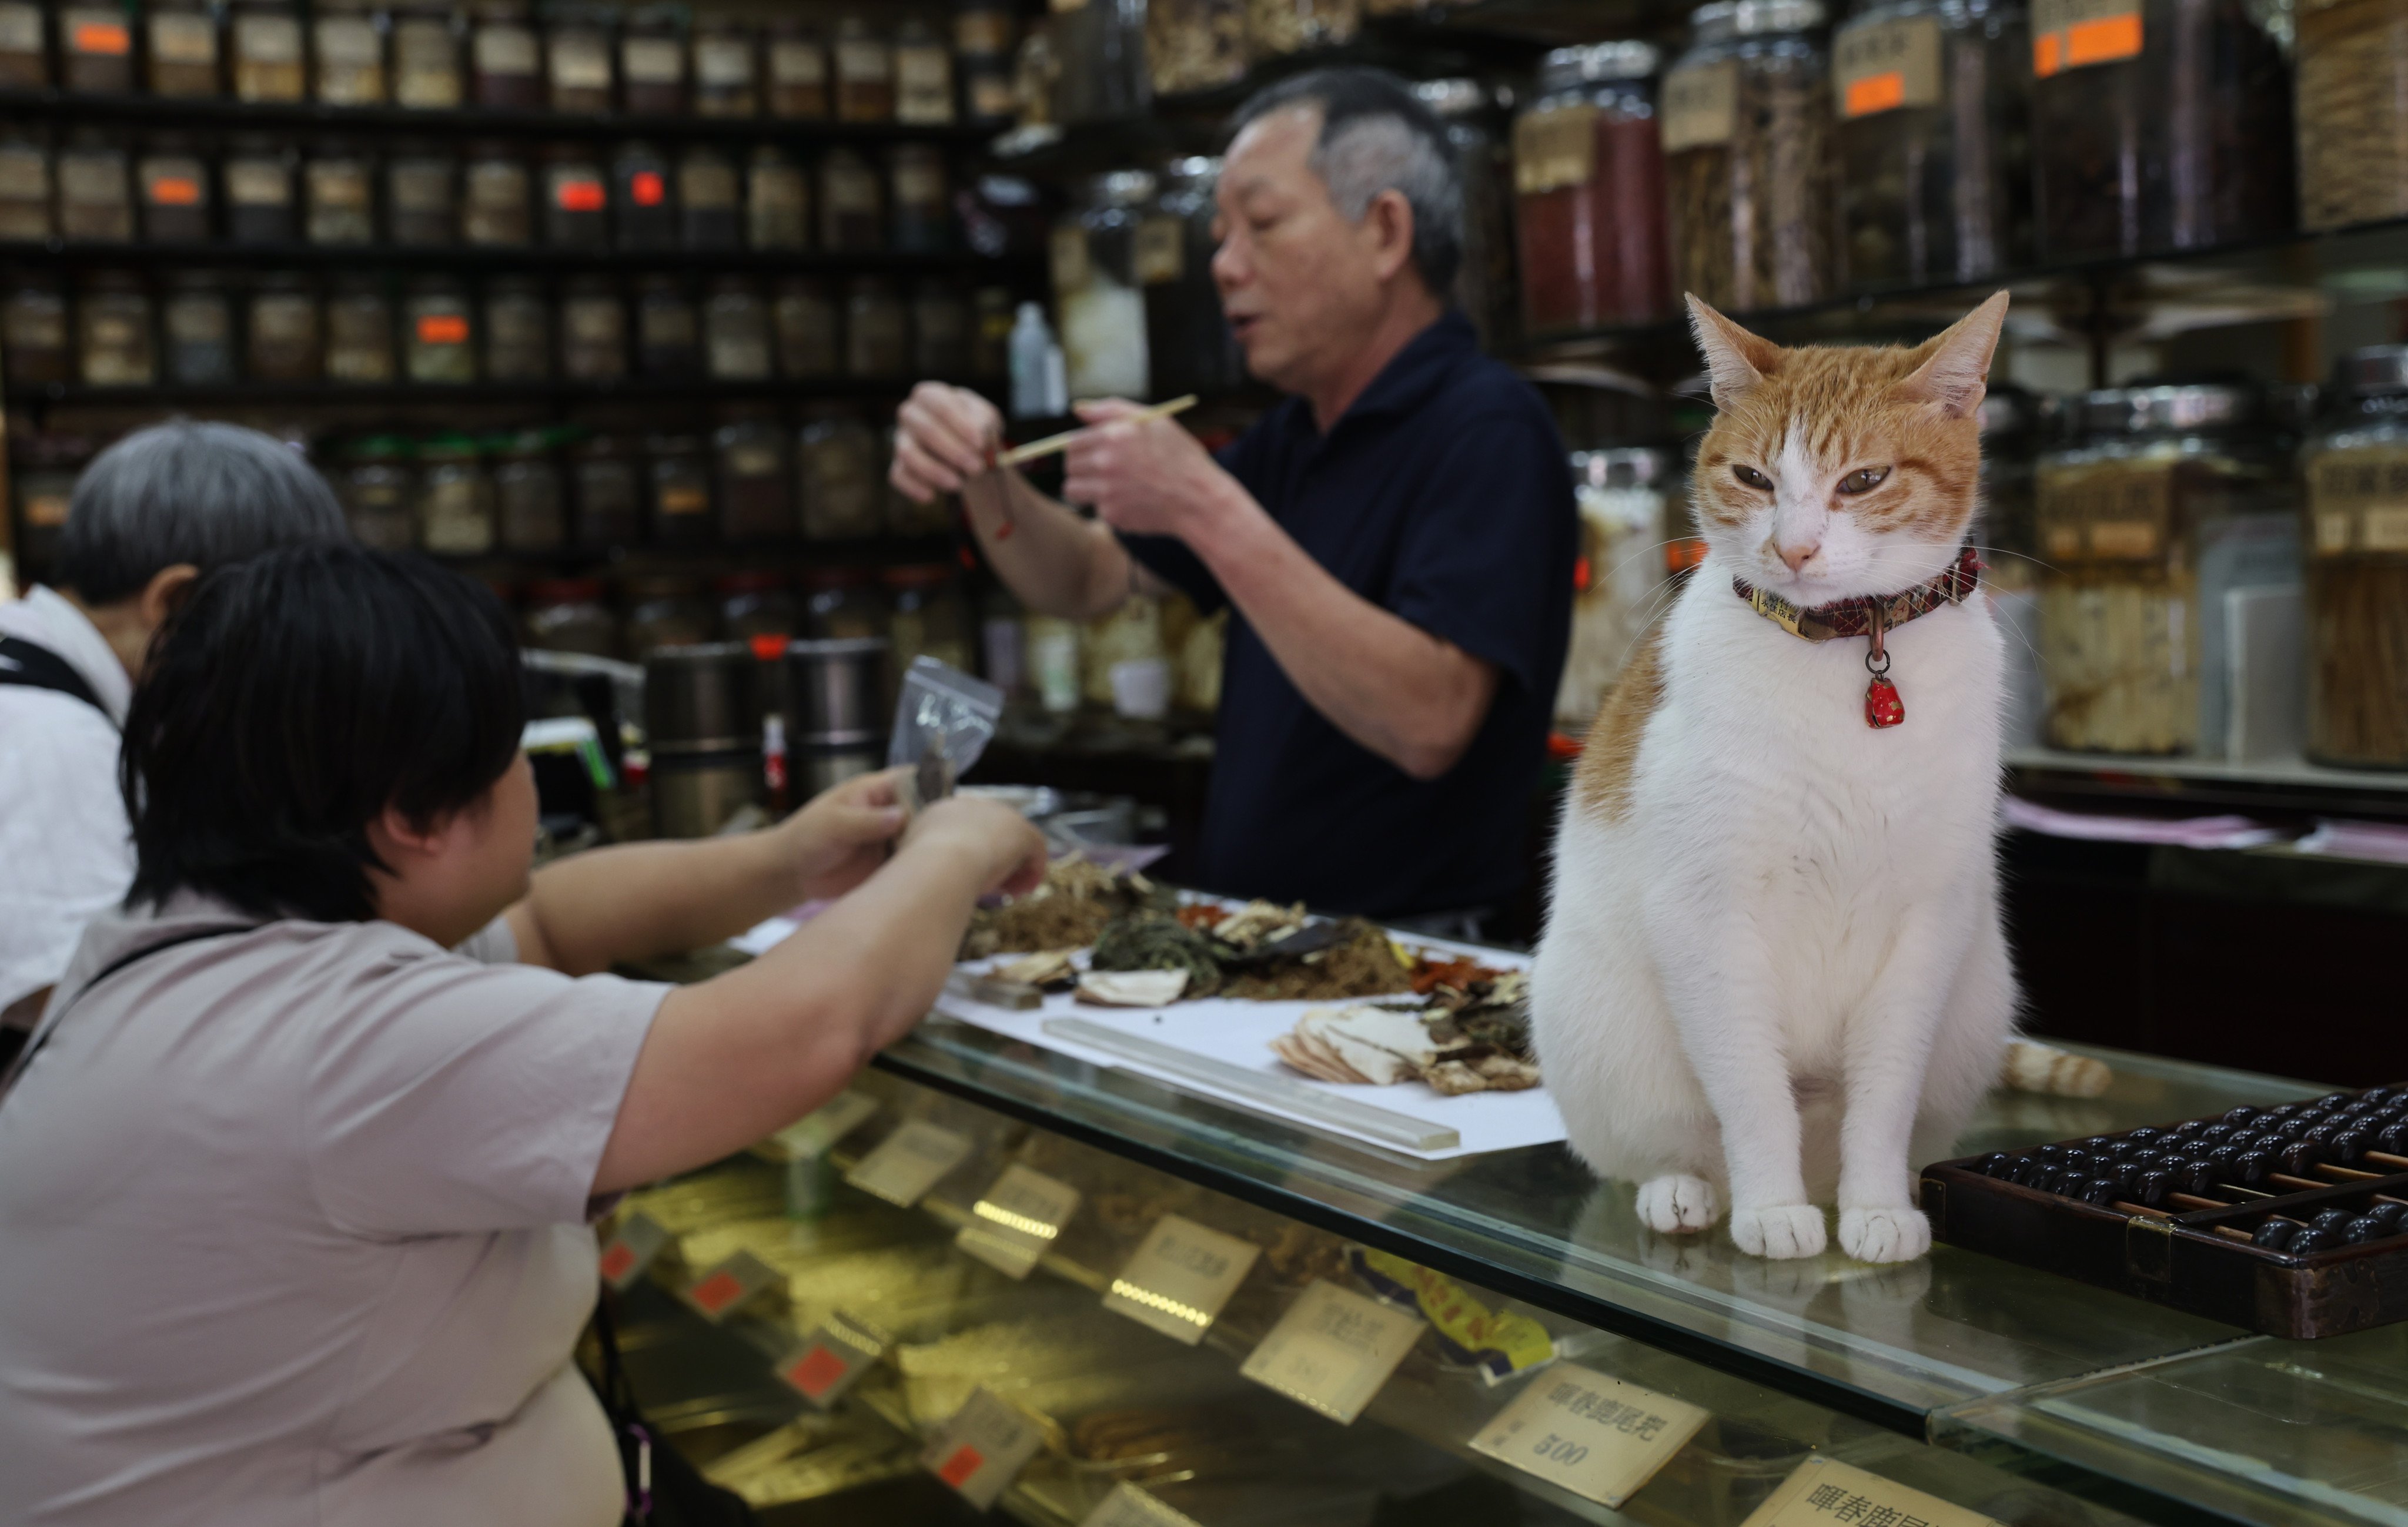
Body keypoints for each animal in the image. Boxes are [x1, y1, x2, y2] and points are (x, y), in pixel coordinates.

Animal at [1531, 287, 2022, 1262]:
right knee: (1665, 1146)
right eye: (1755, 479)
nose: (1794, 549)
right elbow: (1752, 1096)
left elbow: (1885, 1095)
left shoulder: (1929, 921)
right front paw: (1770, 1208)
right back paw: (1688, 1194)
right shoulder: (1707, 914)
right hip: (1595, 1022)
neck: (1847, 653)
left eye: (1863, 481)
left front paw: (1878, 1207)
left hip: (1977, 1003)